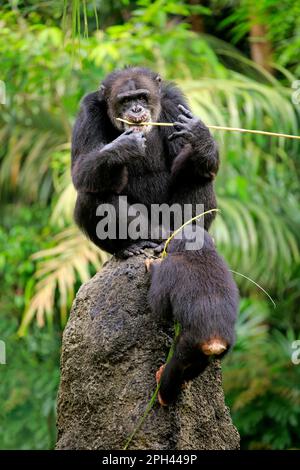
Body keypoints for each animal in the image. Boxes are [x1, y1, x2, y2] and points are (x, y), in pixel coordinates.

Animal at [71, 66, 219, 258]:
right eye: (126, 100)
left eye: (142, 97)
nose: (136, 109)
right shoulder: (88, 112)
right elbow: (80, 167)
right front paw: (124, 146)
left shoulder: (175, 104)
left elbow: (181, 162)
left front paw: (200, 136)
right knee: (92, 192)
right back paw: (132, 245)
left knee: (197, 175)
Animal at [145, 226, 239, 406]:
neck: (199, 251)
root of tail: (215, 341)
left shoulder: (170, 267)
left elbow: (159, 305)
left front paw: (152, 265)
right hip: (220, 348)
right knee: (198, 367)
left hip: (190, 344)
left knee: (177, 364)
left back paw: (164, 393)